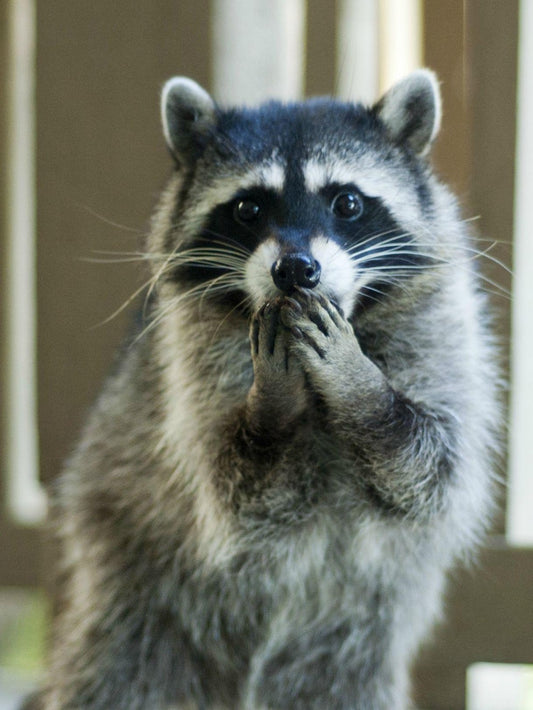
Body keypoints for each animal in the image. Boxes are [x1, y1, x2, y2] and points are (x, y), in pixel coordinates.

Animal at [42, 70, 499, 710]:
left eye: (347, 202)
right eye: (248, 207)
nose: (296, 269)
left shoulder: (442, 330)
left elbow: (433, 471)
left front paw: (363, 392)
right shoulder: (190, 363)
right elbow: (240, 493)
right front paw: (275, 406)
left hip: (346, 650)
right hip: (132, 591)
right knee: (114, 673)